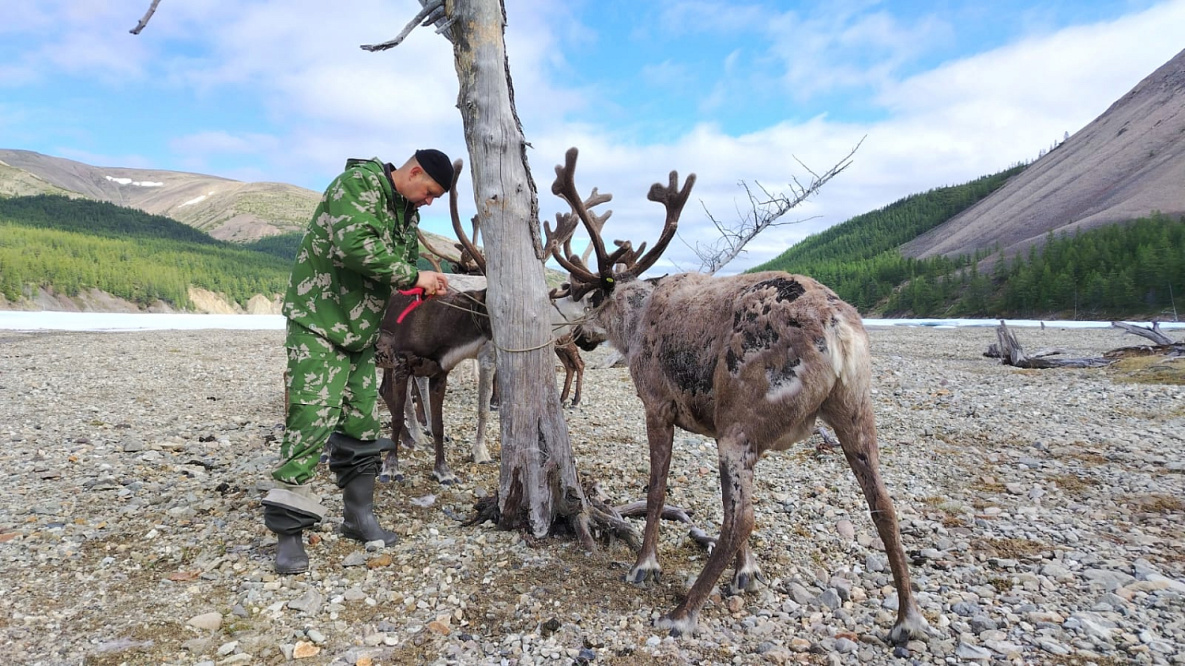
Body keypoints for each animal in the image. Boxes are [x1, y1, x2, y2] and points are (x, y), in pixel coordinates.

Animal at [544, 147, 930, 644]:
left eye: (590, 300)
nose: (579, 337)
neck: (634, 325)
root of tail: (838, 327)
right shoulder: (716, 423)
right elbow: (726, 501)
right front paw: (746, 571)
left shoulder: (659, 406)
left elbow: (658, 491)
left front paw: (645, 564)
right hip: (853, 410)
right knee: (883, 505)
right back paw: (907, 619)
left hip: (746, 420)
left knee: (744, 515)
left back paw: (682, 612)